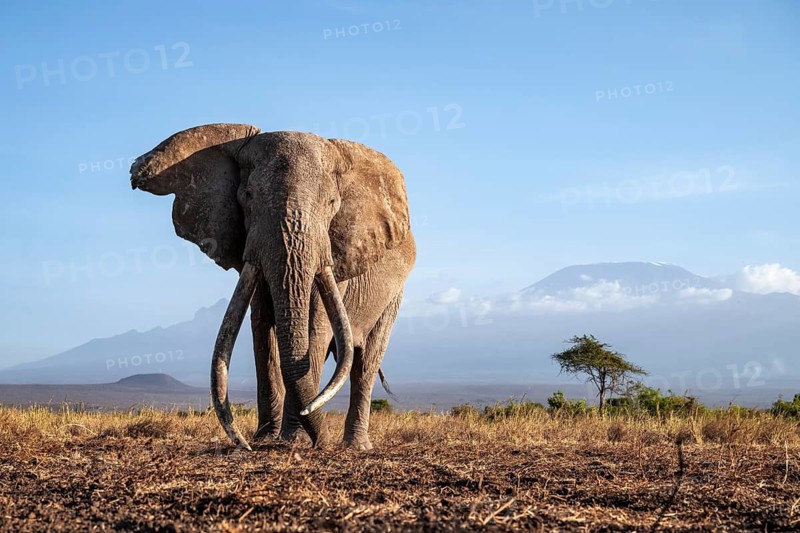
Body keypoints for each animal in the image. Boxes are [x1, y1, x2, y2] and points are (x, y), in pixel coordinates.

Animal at [130, 124, 415, 450]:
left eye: (332, 203)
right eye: (248, 196)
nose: (321, 441)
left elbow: (314, 330)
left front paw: (294, 439)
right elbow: (261, 326)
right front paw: (266, 438)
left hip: (394, 294)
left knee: (366, 361)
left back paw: (355, 446)